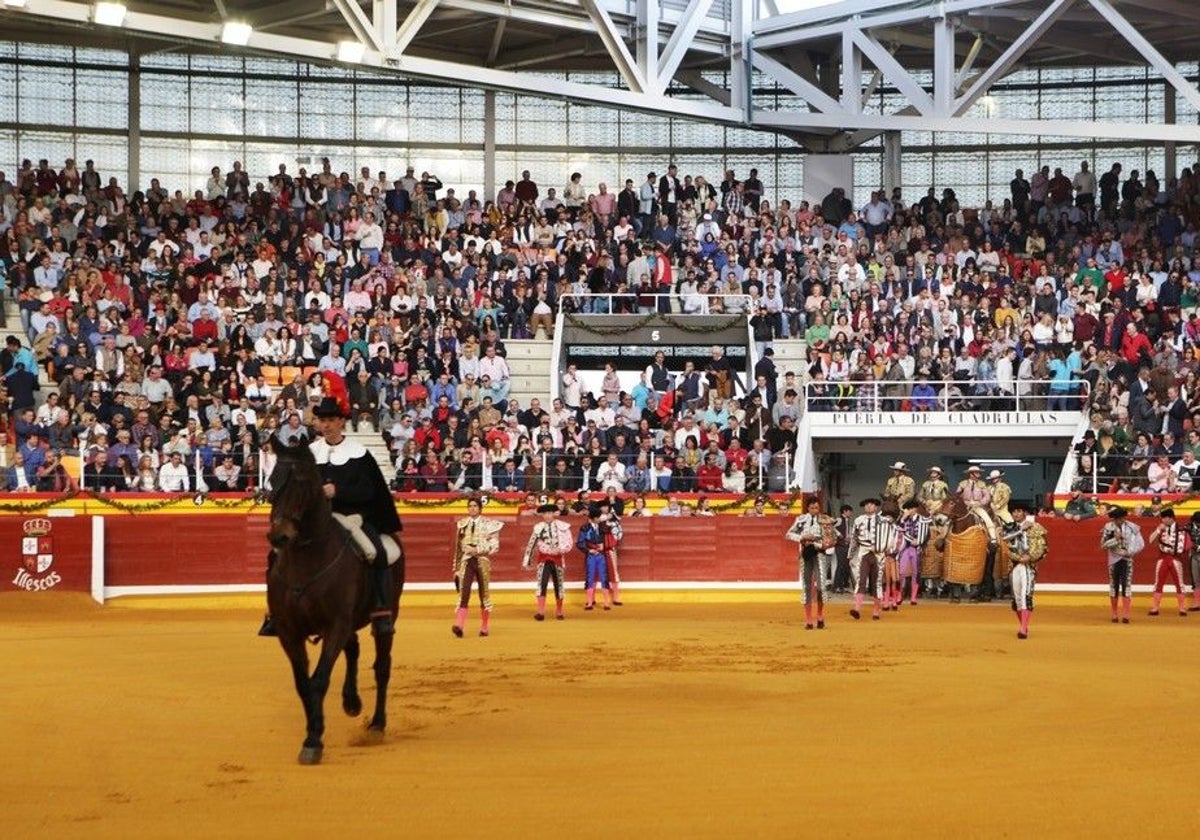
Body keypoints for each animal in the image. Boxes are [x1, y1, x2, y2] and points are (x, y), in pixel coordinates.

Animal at [265, 436, 405, 763]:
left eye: (302, 481)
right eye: (272, 480)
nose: (279, 537)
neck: (306, 560)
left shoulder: (335, 625)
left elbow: (318, 679)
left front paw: (313, 740)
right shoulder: (289, 633)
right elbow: (303, 683)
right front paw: (312, 732)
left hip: (385, 615)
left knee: (382, 666)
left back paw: (377, 724)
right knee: (353, 649)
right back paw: (351, 701)